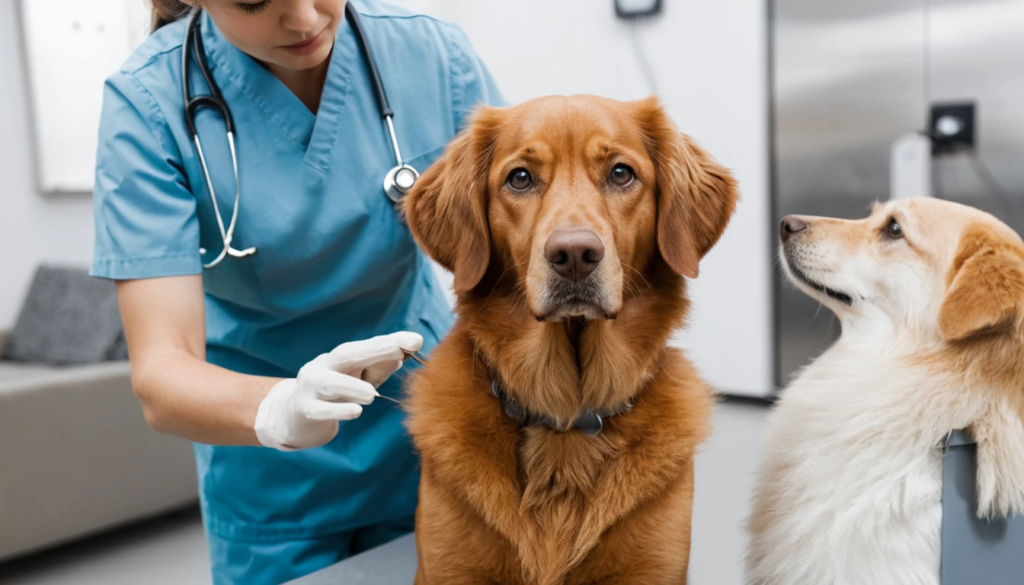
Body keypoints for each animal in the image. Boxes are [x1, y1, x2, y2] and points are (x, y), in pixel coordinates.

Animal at [399, 93, 737, 581]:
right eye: (520, 178)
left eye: (621, 173)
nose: (575, 254)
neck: (567, 412)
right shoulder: (452, 569)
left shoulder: (651, 568)